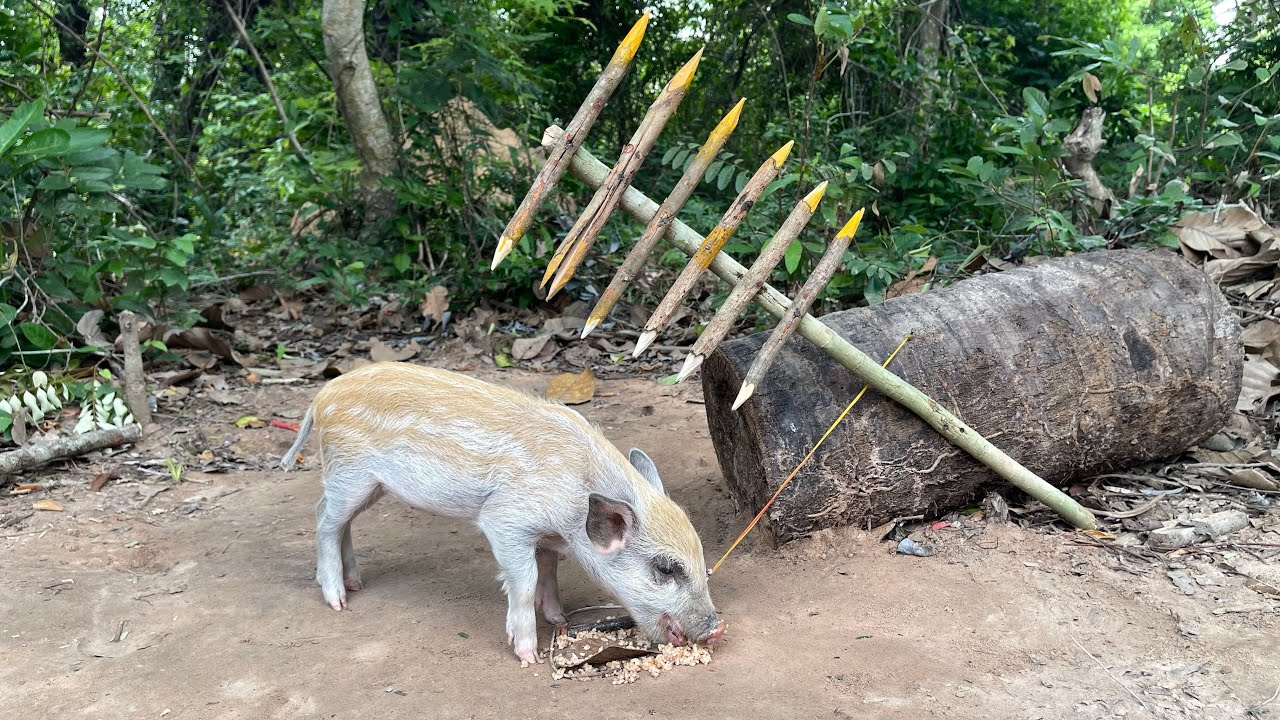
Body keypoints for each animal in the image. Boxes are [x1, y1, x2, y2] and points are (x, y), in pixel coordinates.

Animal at [280, 361, 725, 663]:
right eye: (665, 568)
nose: (717, 628)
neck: (573, 502)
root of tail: (322, 396)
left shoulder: (545, 537)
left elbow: (549, 571)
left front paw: (559, 619)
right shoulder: (505, 519)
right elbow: (525, 580)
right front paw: (528, 655)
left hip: (367, 485)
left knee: (341, 522)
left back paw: (356, 584)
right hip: (348, 473)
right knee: (323, 521)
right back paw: (338, 601)